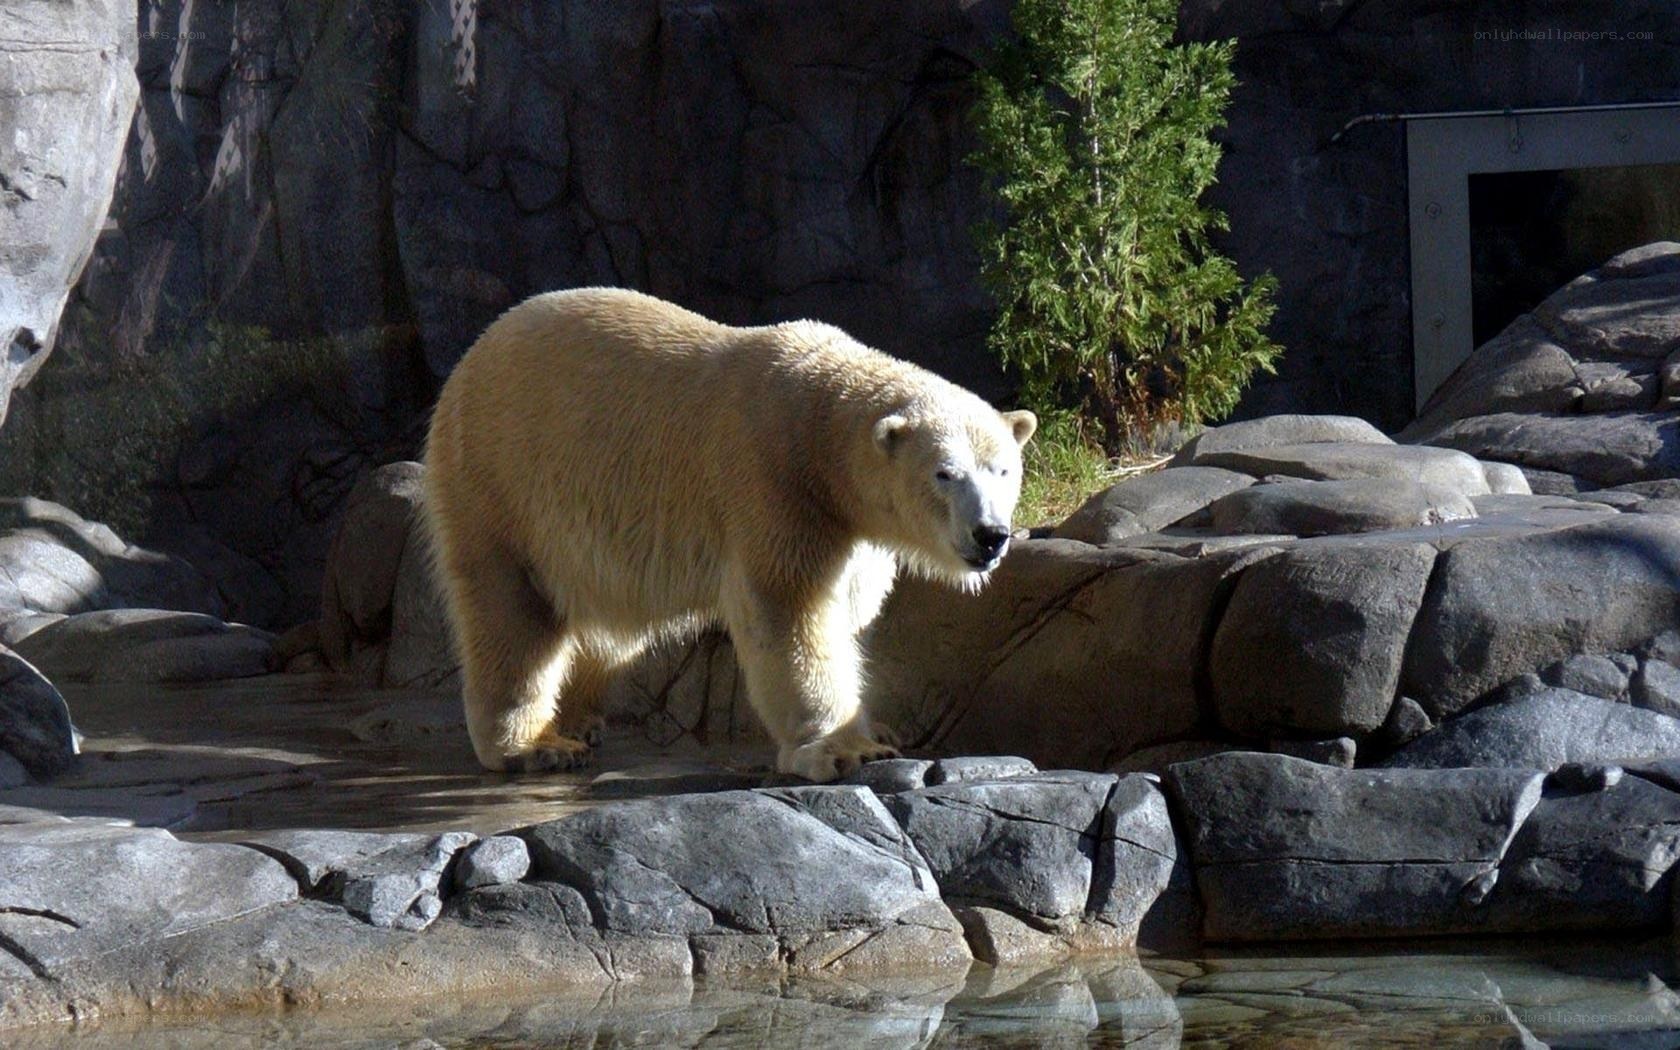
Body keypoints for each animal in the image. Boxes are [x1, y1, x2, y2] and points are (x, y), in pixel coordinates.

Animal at [422, 288, 1036, 781]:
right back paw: (535, 745)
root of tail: (468, 361)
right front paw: (845, 750)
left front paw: (876, 730)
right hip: (500, 480)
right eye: (945, 473)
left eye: (1003, 469)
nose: (991, 535)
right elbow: (789, 611)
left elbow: (849, 608)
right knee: (513, 614)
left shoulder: (851, 526)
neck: (817, 425)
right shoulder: (773, 484)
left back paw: (580, 720)